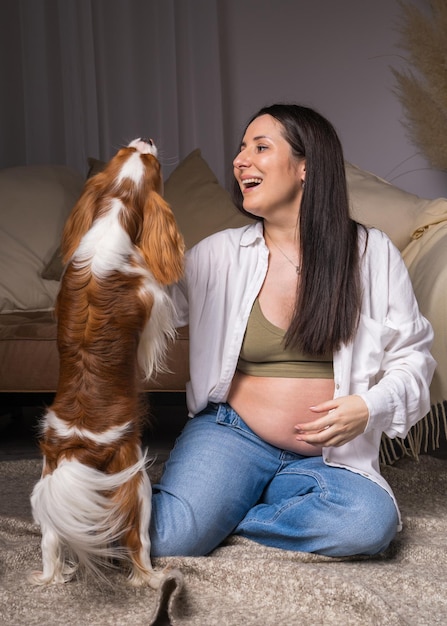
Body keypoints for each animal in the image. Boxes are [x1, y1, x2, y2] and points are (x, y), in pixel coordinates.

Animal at [28, 136, 186, 584]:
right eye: (152, 163)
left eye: (122, 151)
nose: (146, 138)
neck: (115, 208)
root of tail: (77, 447)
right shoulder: (153, 302)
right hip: (137, 485)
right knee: (138, 545)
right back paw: (154, 578)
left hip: (46, 486)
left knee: (50, 544)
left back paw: (53, 575)